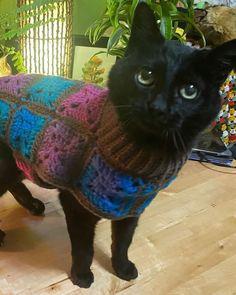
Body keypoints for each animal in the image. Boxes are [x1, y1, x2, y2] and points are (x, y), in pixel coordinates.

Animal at [0, 2, 235, 290]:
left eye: (190, 90)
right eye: (145, 76)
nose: (158, 108)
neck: (145, 150)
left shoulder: (131, 207)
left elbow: (123, 242)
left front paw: (122, 268)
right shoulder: (76, 203)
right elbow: (84, 247)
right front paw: (81, 275)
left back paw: (33, 205)